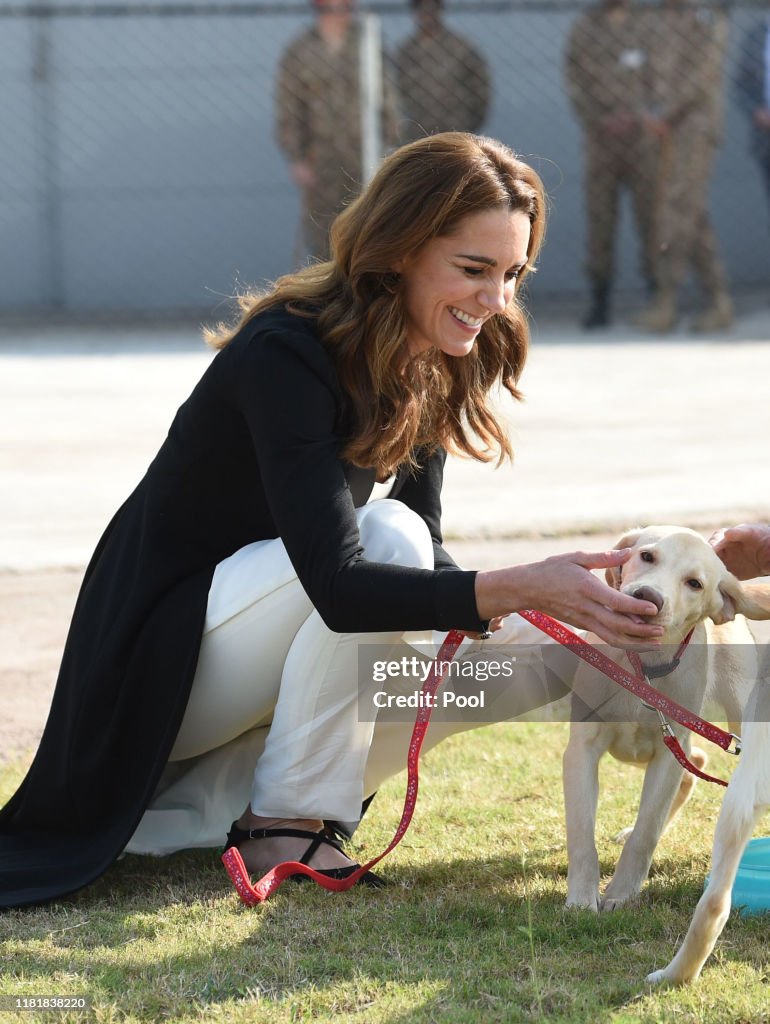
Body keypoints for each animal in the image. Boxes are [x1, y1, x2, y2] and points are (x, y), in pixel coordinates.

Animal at [561, 528, 770, 913]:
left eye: (694, 584)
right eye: (647, 556)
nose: (647, 597)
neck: (642, 668)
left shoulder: (665, 756)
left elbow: (647, 831)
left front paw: (621, 893)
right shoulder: (582, 749)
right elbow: (581, 830)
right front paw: (581, 898)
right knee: (696, 760)